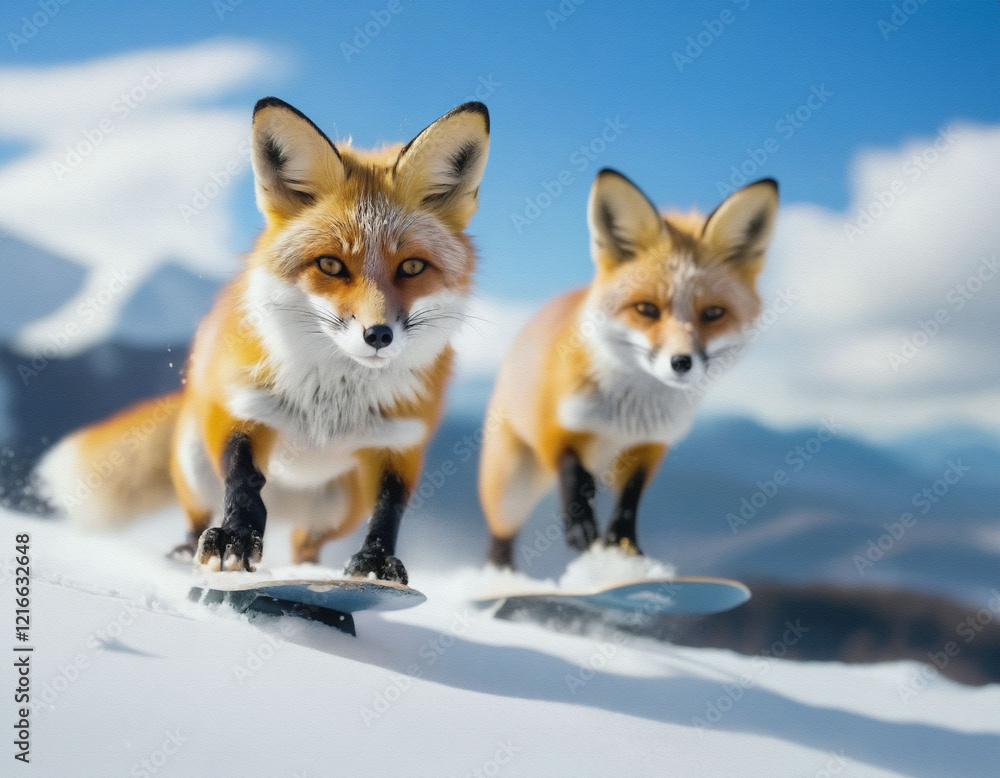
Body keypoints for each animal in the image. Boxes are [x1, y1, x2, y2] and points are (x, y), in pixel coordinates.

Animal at [35, 97, 490, 582]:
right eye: (330, 265)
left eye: (412, 267)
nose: (378, 335)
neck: (330, 405)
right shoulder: (241, 408)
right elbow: (244, 483)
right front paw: (235, 537)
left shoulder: (400, 444)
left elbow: (388, 508)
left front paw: (375, 561)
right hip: (194, 456)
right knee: (199, 513)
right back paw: (186, 548)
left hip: (339, 507)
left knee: (304, 543)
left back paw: (307, 569)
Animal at [480, 169, 778, 568]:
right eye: (647, 309)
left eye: (713, 314)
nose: (681, 362)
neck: (625, 416)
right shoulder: (554, 427)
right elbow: (571, 473)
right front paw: (580, 526)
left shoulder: (650, 445)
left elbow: (629, 499)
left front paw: (623, 545)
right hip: (512, 486)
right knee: (502, 533)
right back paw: (501, 573)